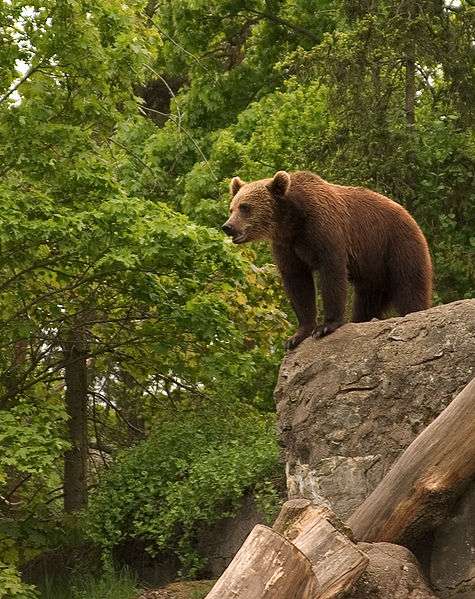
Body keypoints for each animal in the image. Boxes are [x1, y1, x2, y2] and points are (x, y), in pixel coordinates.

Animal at [221, 170, 434, 352]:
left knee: (410, 287)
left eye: (245, 207)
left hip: (395, 246)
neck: (291, 220)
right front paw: (297, 336)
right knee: (366, 301)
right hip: (373, 272)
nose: (228, 226)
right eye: (232, 208)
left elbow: (331, 272)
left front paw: (326, 326)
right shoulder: (287, 246)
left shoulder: (324, 228)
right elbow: (297, 283)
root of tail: (409, 216)